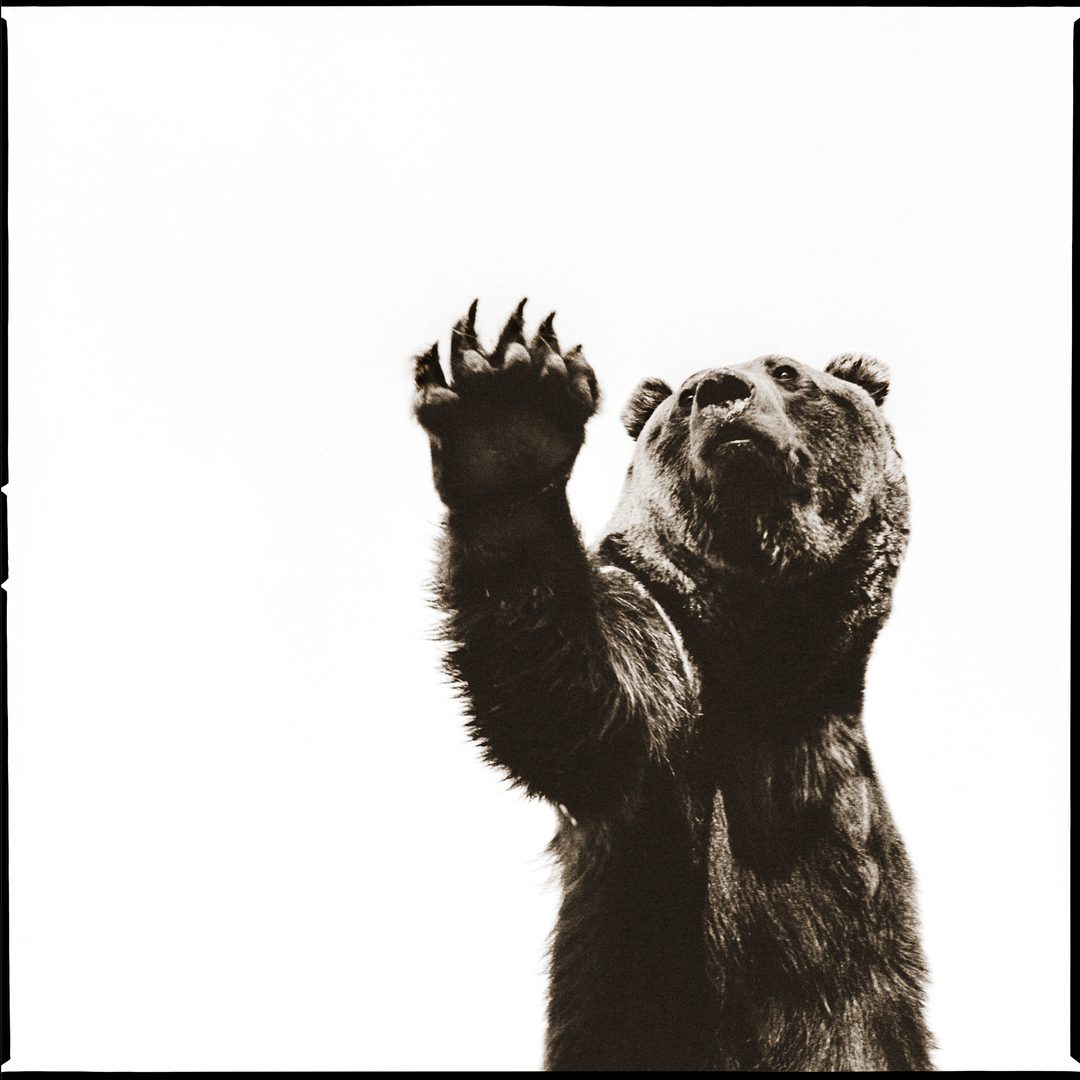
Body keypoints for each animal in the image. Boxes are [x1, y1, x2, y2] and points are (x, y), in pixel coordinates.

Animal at [412, 299, 934, 1072]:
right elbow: (578, 706)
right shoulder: (670, 712)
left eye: (787, 372)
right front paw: (506, 418)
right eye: (681, 399)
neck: (767, 670)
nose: (716, 387)